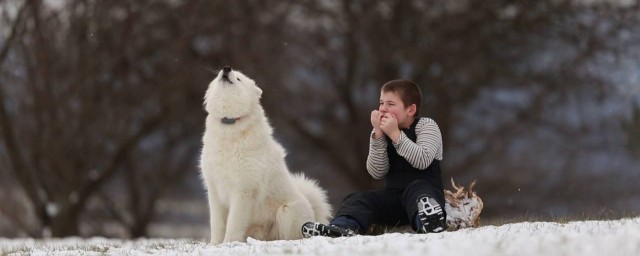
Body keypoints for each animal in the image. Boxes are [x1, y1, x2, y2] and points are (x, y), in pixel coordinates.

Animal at [199, 66, 330, 244]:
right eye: (219, 74)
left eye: (239, 78)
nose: (226, 68)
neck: (230, 123)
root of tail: (314, 215)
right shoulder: (214, 190)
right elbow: (217, 223)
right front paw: (215, 244)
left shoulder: (243, 190)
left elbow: (234, 222)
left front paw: (230, 243)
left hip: (286, 211)